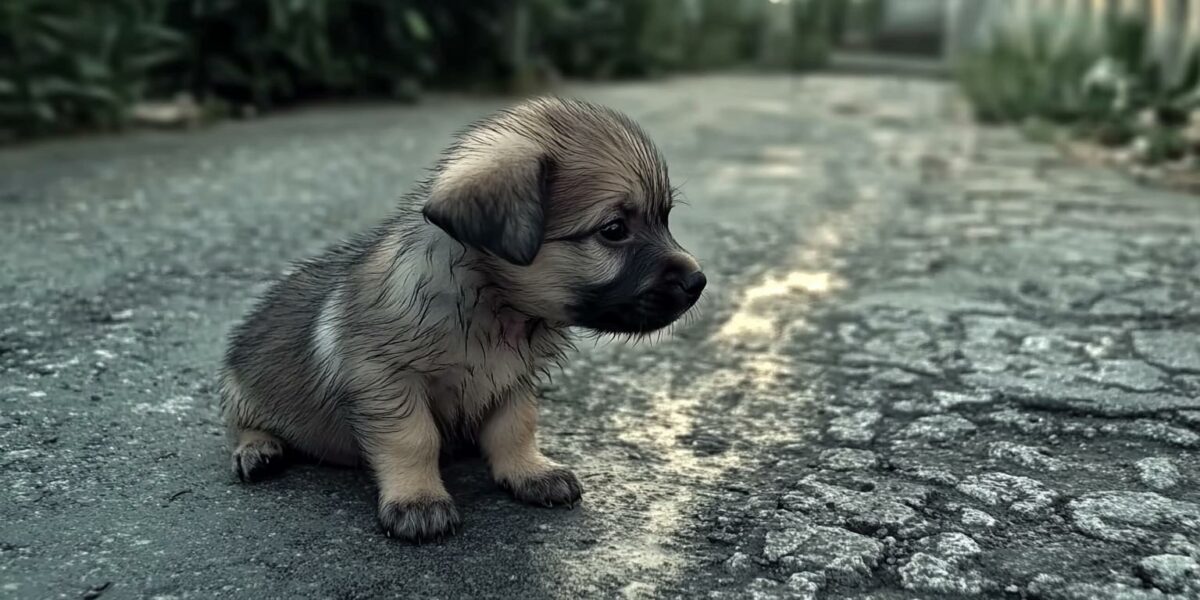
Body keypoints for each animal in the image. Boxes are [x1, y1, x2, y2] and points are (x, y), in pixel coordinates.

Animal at [218, 96, 700, 542]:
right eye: (614, 230)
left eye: (665, 218)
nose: (698, 281)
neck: (490, 304)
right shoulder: (386, 381)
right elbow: (414, 439)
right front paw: (418, 499)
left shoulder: (512, 382)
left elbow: (515, 429)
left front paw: (529, 471)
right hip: (240, 390)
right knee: (242, 424)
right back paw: (258, 449)